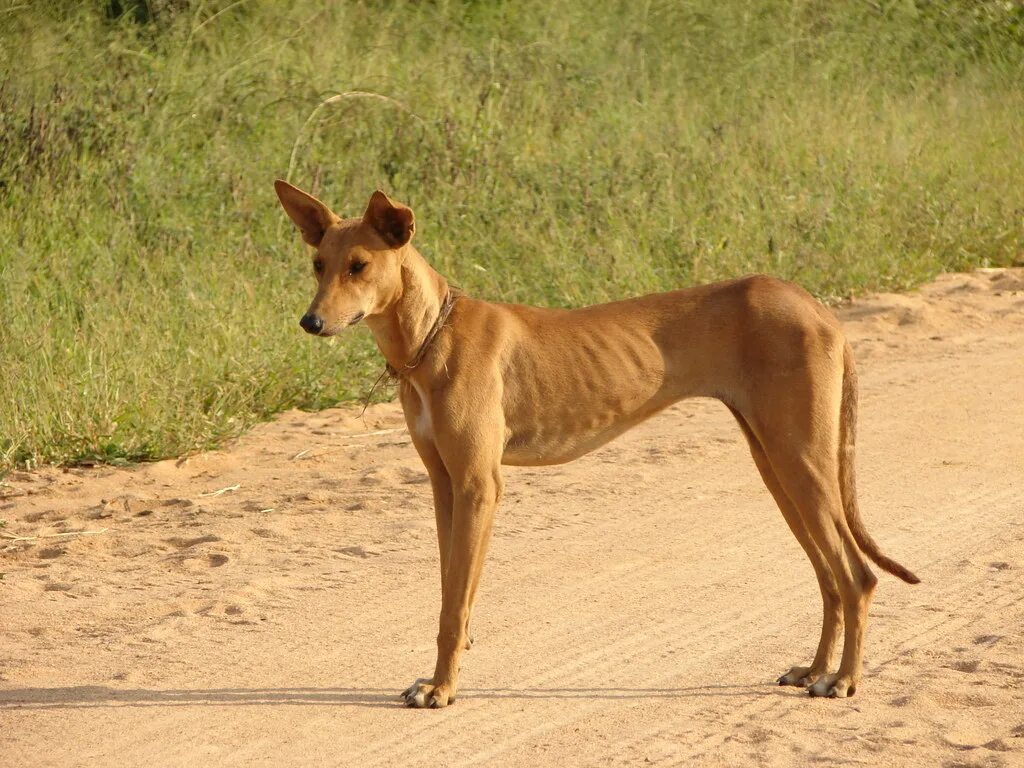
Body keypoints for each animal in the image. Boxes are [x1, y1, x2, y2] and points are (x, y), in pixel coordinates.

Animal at [274, 180, 921, 708]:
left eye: (360, 265)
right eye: (317, 264)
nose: (310, 322)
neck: (434, 335)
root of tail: (816, 305)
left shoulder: (481, 485)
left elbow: (453, 603)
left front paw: (442, 689)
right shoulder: (444, 485)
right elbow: (451, 588)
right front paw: (443, 673)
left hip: (800, 461)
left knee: (857, 576)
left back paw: (843, 679)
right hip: (777, 465)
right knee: (828, 576)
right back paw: (815, 669)